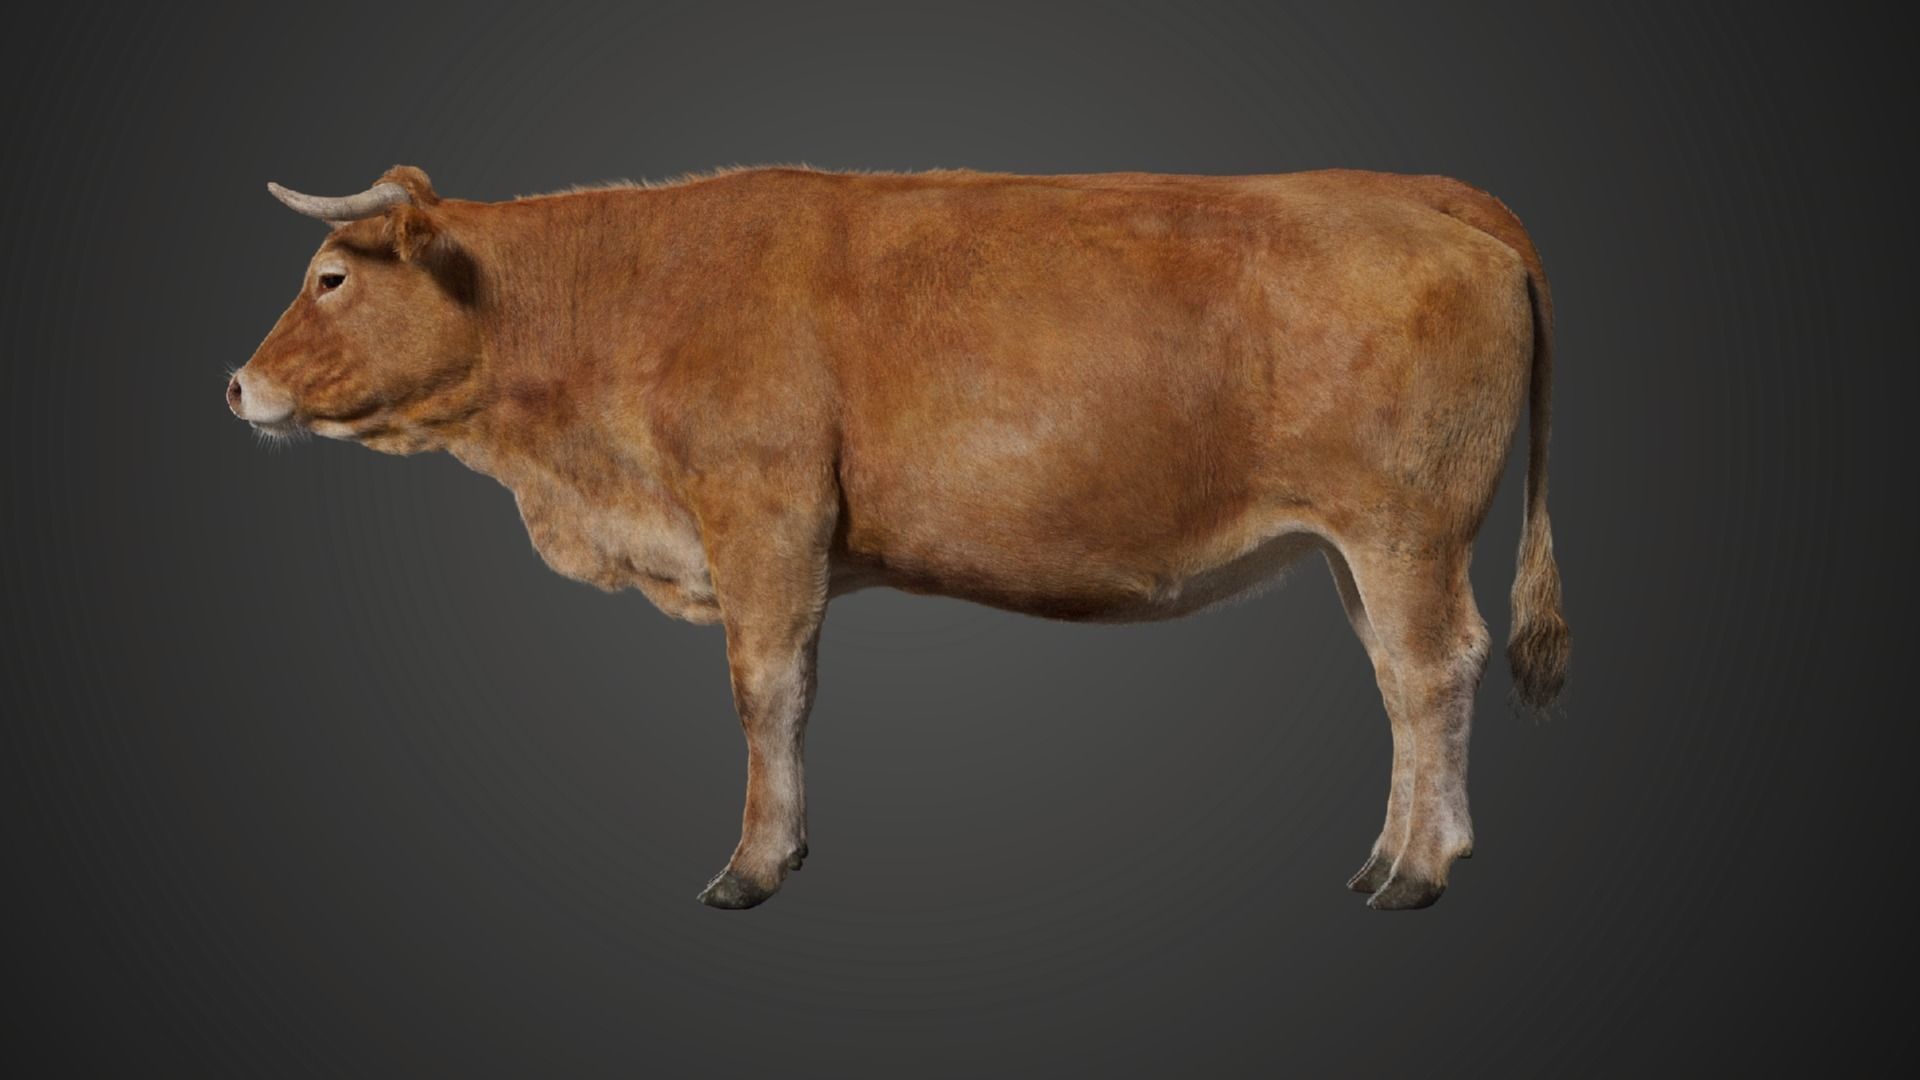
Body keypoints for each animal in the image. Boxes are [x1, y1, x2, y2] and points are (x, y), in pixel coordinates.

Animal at [229, 163, 1569, 911]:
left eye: (331, 277)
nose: (238, 388)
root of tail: (1418, 192)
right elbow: (794, 692)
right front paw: (788, 848)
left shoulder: (761, 513)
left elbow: (765, 689)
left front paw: (751, 866)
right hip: (1358, 548)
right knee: (1401, 681)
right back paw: (1397, 852)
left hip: (1404, 529)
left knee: (1432, 670)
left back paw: (1416, 871)